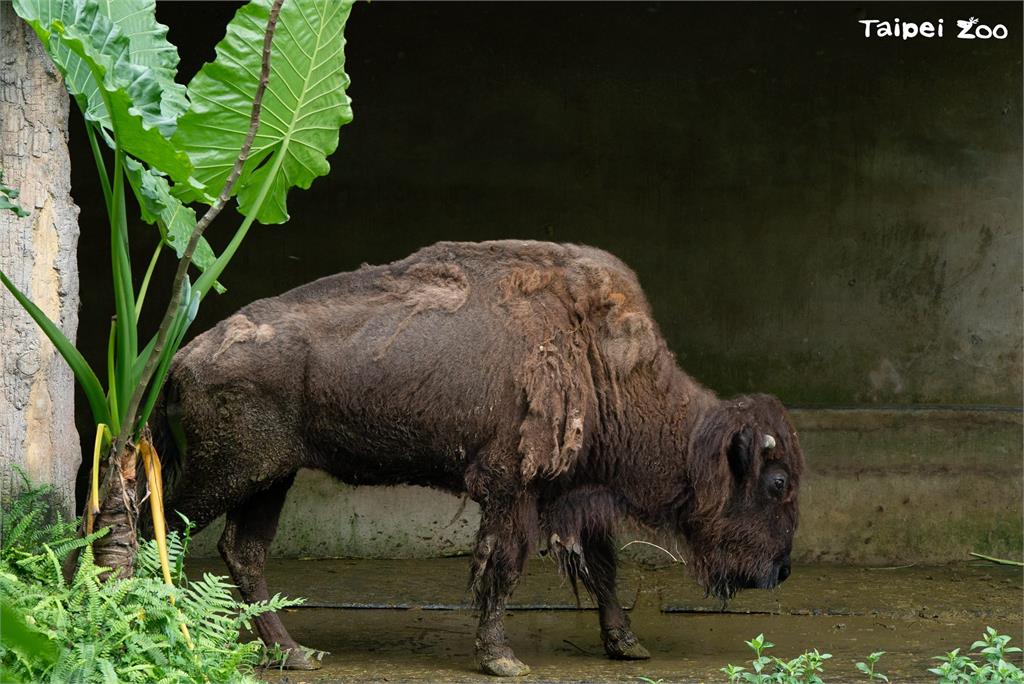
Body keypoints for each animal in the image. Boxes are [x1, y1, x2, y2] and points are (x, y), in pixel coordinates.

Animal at [155, 239, 802, 671]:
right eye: (776, 484)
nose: (781, 571)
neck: (603, 363)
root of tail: (184, 355)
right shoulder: (512, 490)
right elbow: (503, 567)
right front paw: (502, 660)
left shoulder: (574, 497)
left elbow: (602, 569)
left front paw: (627, 644)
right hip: (227, 474)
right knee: (163, 528)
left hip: (271, 477)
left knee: (242, 552)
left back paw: (297, 654)